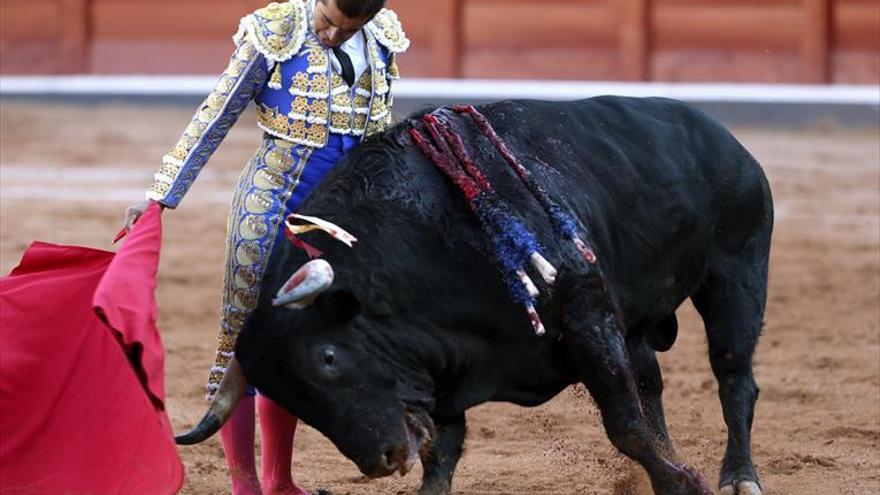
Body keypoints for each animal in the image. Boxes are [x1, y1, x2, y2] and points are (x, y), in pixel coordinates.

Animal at [179, 97, 768, 495]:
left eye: (327, 358)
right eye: (292, 397)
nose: (382, 459)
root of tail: (721, 135)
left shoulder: (588, 318)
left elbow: (624, 426)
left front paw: (682, 483)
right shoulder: (441, 368)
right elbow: (442, 454)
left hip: (737, 273)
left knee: (733, 377)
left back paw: (738, 476)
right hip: (640, 322)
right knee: (651, 385)